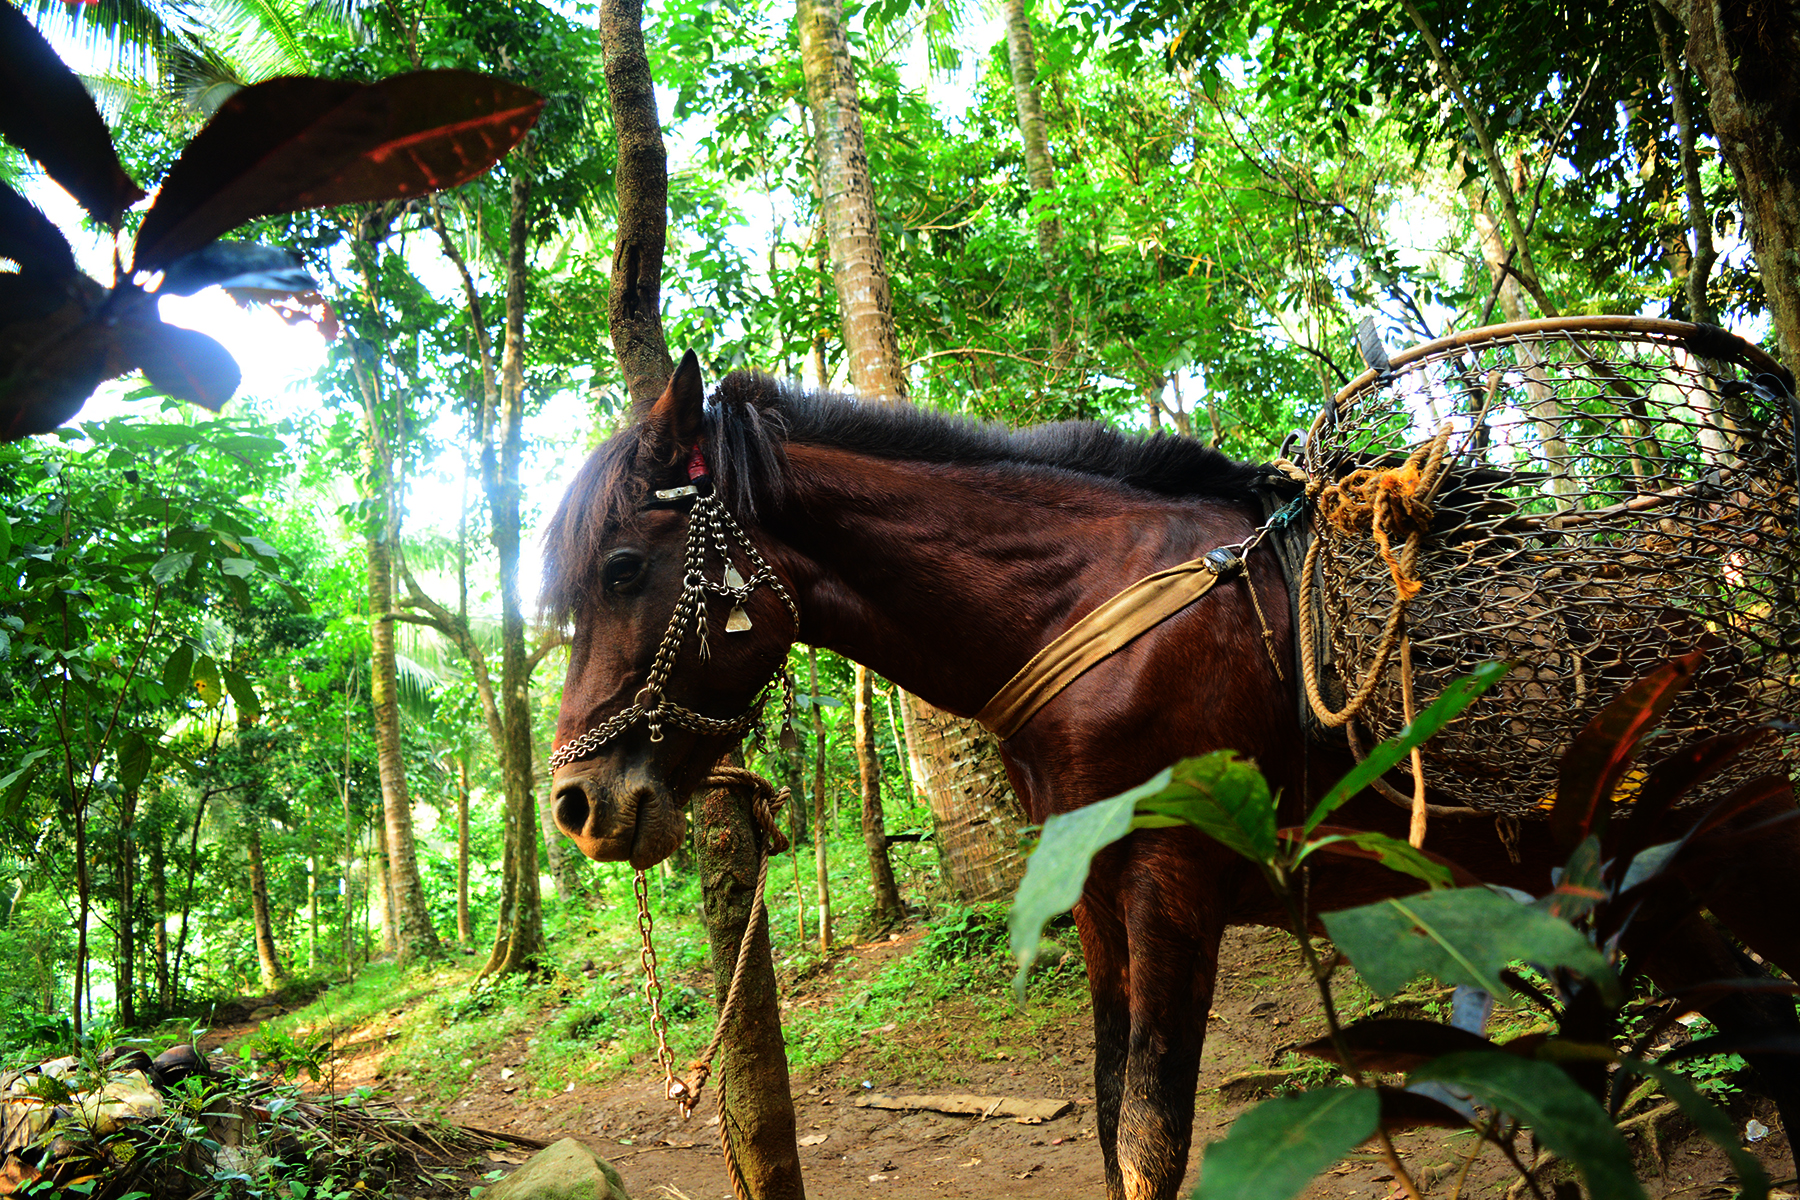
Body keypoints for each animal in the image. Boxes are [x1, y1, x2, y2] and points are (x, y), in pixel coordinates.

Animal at [543, 356, 1800, 1200]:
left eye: (623, 568)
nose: (579, 806)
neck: (1076, 602)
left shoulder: (1174, 878)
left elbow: (1151, 1137)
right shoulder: (1097, 893)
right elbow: (1111, 1128)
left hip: (1732, 847)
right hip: (1630, 880)